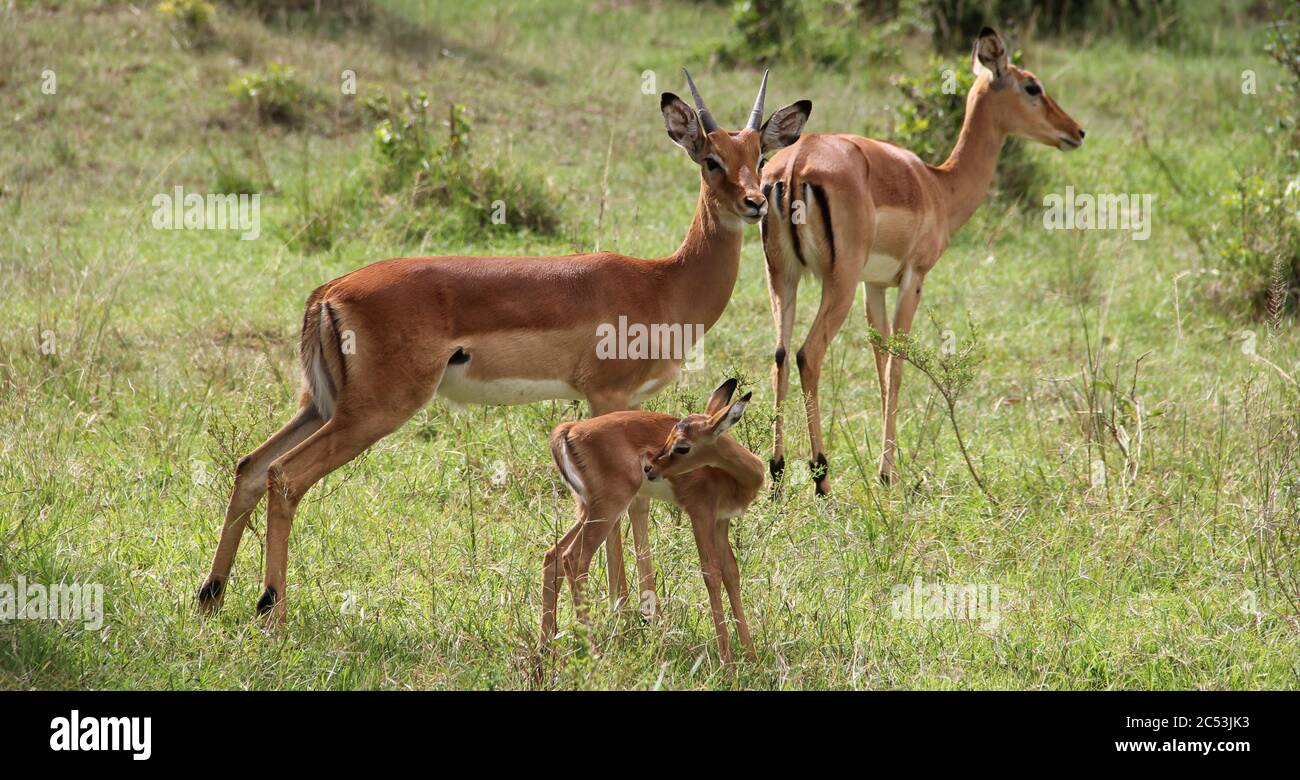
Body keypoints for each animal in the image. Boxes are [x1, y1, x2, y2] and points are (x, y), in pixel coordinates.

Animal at [535, 377, 759, 663]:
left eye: (681, 444)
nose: (651, 468)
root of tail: (569, 429)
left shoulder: (722, 521)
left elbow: (731, 573)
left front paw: (750, 654)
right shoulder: (700, 515)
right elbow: (711, 573)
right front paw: (727, 661)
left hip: (588, 510)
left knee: (553, 555)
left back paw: (545, 650)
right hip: (607, 509)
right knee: (574, 558)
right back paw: (594, 652)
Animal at [759, 30, 1086, 496]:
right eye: (1032, 87)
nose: (1075, 131)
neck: (937, 185)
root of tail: (796, 165)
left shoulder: (874, 285)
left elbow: (879, 360)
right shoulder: (913, 278)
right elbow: (897, 365)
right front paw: (887, 473)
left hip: (783, 276)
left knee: (781, 355)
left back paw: (776, 473)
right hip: (835, 283)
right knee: (808, 354)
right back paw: (821, 477)